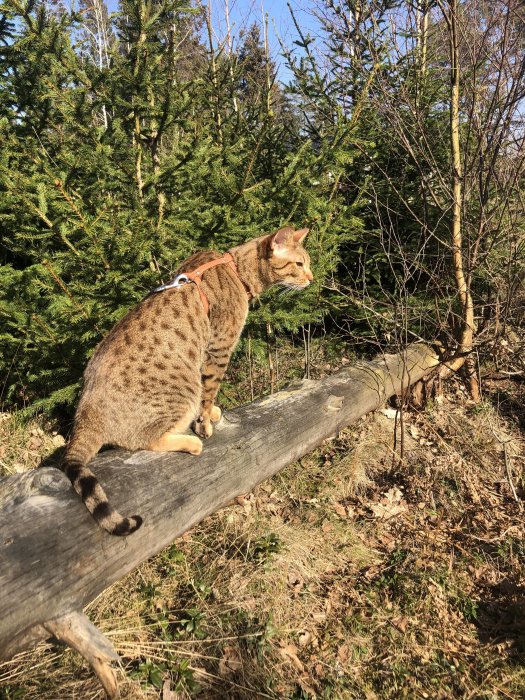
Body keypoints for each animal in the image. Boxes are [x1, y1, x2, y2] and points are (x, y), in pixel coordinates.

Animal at [61, 227, 312, 532]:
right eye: (299, 264)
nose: (312, 278)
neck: (236, 270)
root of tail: (85, 414)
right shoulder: (219, 348)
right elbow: (210, 390)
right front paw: (204, 423)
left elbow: (210, 395)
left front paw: (211, 414)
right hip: (182, 391)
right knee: (145, 440)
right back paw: (191, 442)